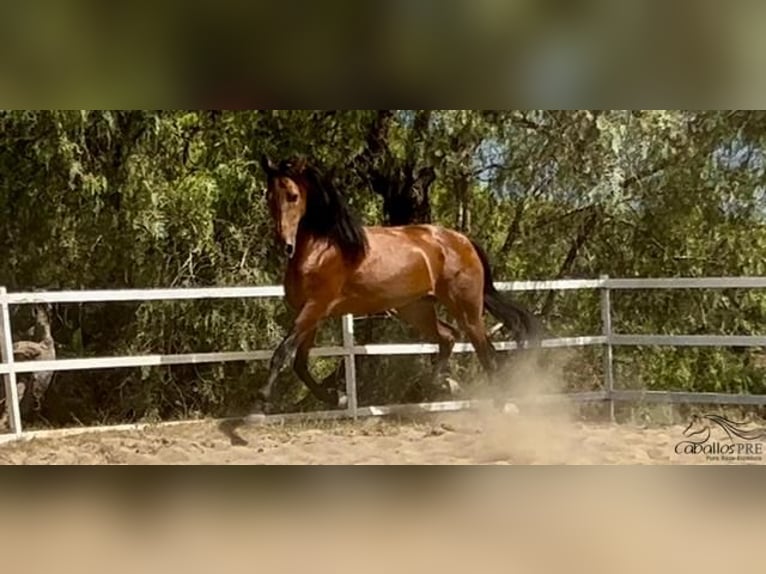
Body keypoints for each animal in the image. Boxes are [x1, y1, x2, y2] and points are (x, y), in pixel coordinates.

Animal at [252, 156, 540, 418]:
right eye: (268, 196)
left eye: (292, 196)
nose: (285, 244)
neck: (324, 249)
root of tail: (463, 241)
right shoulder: (310, 313)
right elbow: (300, 363)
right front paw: (339, 398)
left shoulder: (315, 307)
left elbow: (282, 354)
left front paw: (262, 401)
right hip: (416, 309)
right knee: (448, 337)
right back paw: (446, 384)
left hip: (466, 310)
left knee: (486, 354)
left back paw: (502, 408)